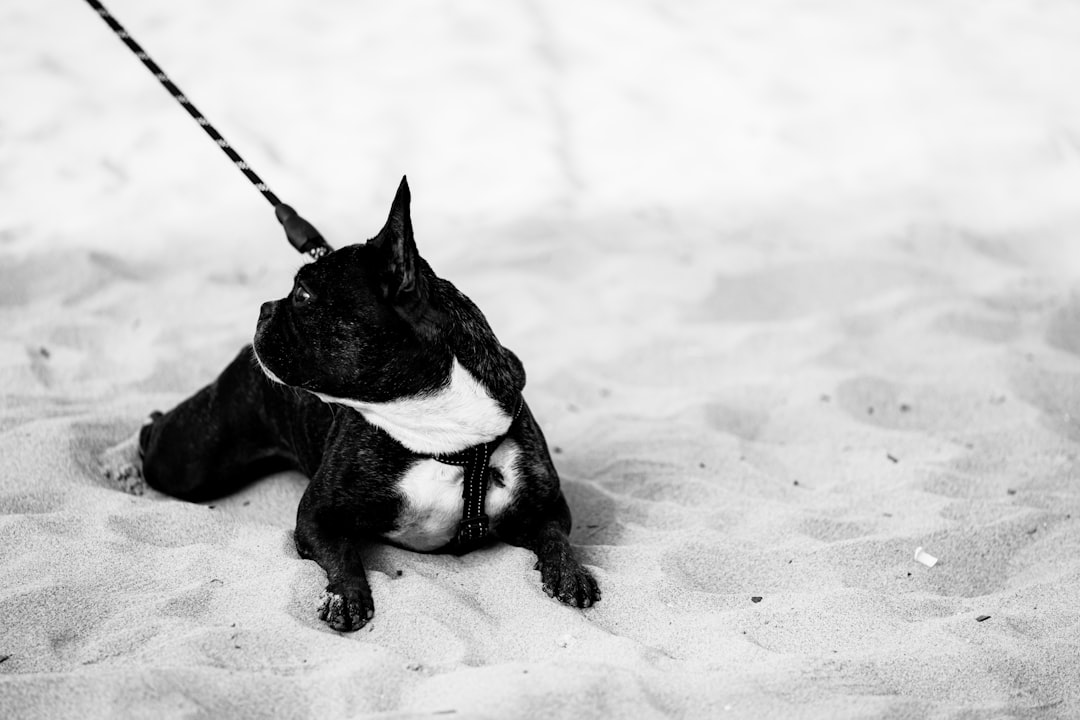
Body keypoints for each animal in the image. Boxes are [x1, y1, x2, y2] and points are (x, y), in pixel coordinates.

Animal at [101, 177, 600, 626]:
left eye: (303, 295)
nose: (265, 307)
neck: (439, 428)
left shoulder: (546, 503)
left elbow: (555, 537)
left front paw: (569, 573)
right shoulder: (317, 515)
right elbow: (343, 555)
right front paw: (345, 596)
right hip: (192, 462)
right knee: (154, 429)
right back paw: (119, 462)